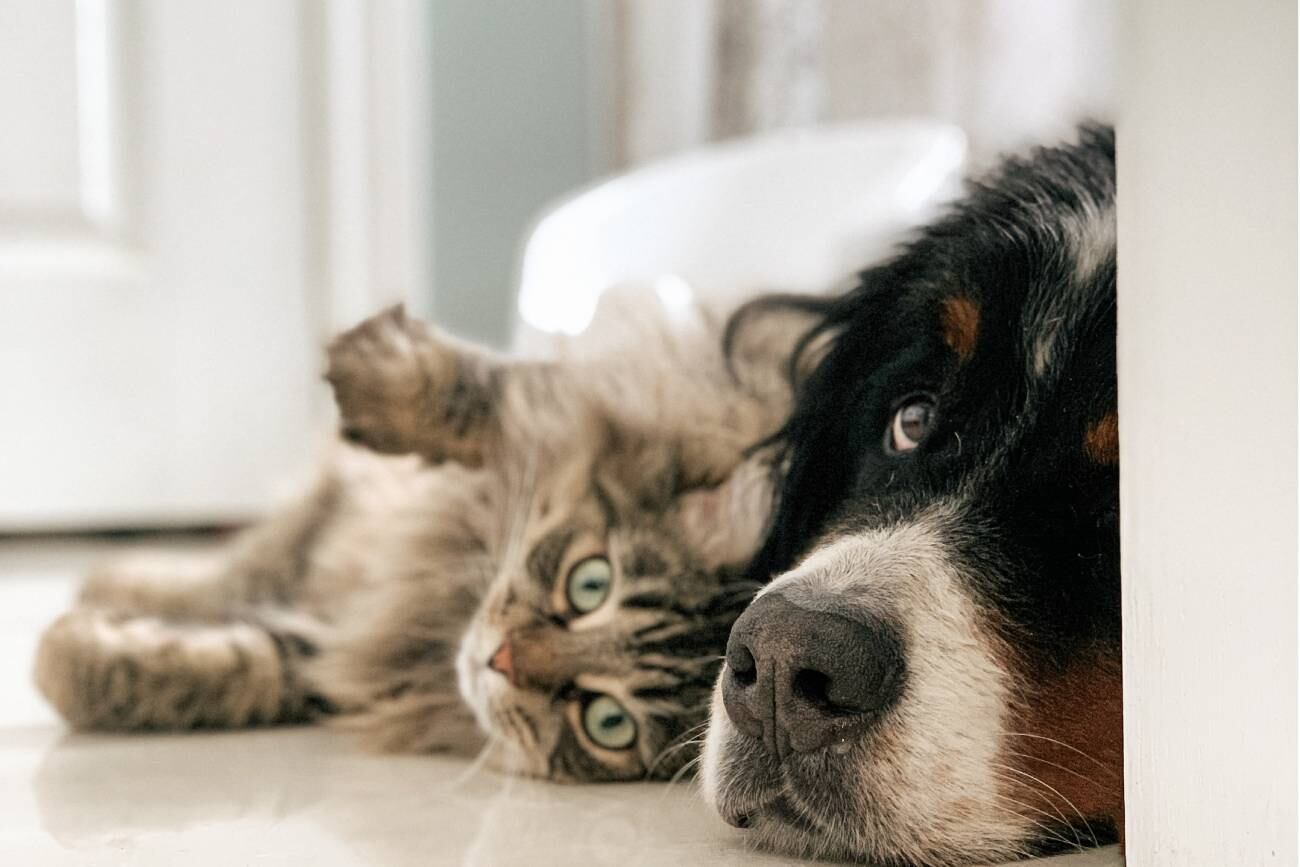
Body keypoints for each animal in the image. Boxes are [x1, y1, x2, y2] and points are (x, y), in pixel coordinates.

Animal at [35, 295, 800, 785]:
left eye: (607, 721)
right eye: (590, 584)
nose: (499, 659)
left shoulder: (339, 657)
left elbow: (236, 665)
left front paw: (64, 657)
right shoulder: (647, 390)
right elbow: (493, 394)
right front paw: (374, 368)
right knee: (236, 566)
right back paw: (114, 575)